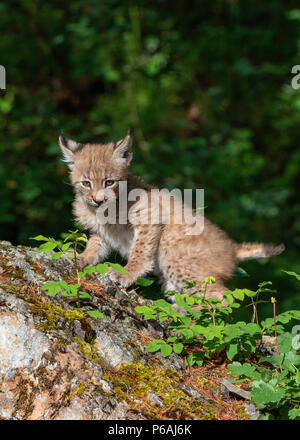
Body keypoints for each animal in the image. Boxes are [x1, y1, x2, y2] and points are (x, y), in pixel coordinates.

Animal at [58, 133, 284, 300]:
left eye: (109, 182)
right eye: (86, 183)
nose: (98, 200)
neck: (102, 210)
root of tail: (233, 248)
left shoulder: (150, 216)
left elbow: (140, 251)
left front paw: (126, 273)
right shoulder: (103, 232)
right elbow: (94, 248)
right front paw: (79, 258)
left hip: (175, 258)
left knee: (221, 297)